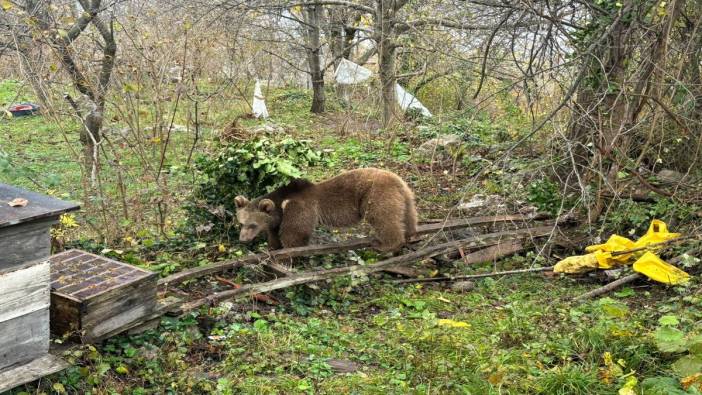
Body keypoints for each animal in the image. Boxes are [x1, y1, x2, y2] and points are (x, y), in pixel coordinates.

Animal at [235, 169, 418, 252]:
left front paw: (291, 249)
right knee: (408, 216)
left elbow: (294, 233)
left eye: (252, 224)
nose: (242, 239)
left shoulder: (299, 207)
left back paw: (386, 244)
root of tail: (396, 178)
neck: (280, 207)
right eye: (241, 223)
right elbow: (274, 236)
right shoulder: (276, 221)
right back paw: (410, 234)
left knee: (382, 218)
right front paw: (273, 247)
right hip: (405, 197)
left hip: (375, 195)